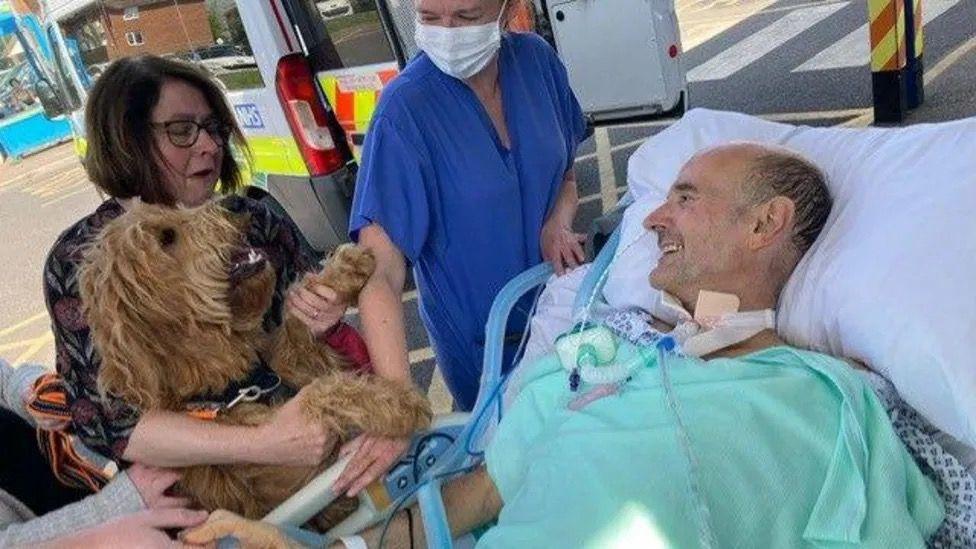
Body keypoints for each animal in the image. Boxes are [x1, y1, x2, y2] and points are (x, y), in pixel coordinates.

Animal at [73, 200, 430, 528]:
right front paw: (400, 404)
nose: (233, 202)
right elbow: (318, 393)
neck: (234, 383)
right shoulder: (294, 464)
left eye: (170, 210)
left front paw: (343, 269)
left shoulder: (287, 359)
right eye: (167, 237)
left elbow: (294, 319)